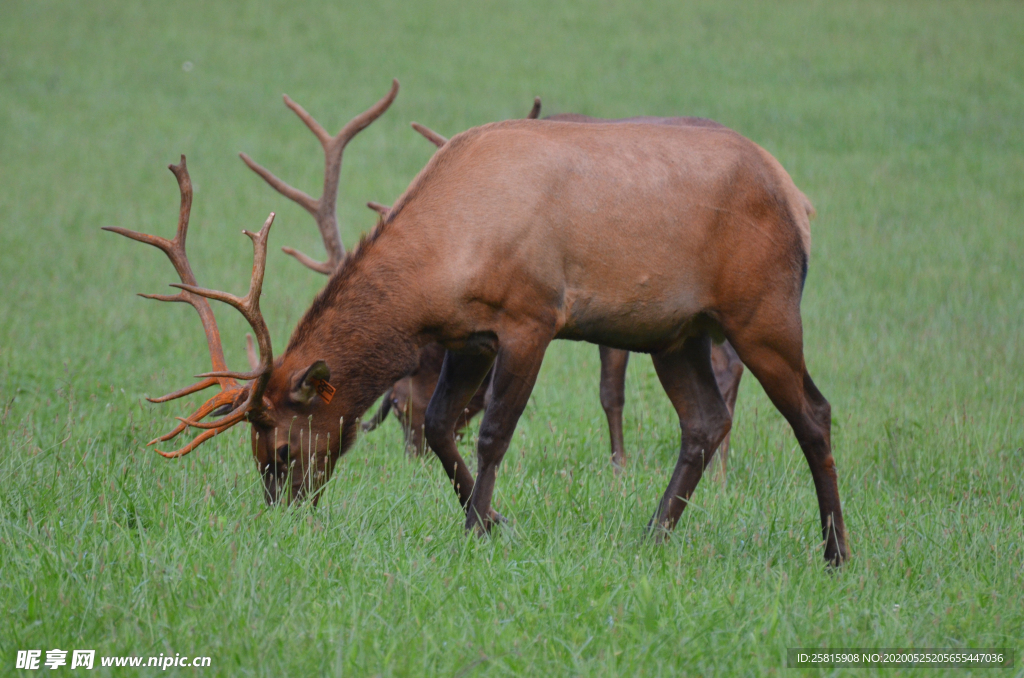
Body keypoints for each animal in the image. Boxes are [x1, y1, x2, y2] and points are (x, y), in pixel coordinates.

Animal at [112, 85, 847, 565]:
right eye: (255, 451)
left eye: (285, 450)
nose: (283, 517)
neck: (443, 264)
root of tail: (798, 197)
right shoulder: (468, 337)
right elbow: (441, 426)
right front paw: (496, 521)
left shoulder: (532, 318)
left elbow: (493, 431)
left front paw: (475, 530)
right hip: (677, 331)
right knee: (704, 421)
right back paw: (653, 535)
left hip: (762, 310)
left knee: (813, 412)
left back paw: (835, 549)